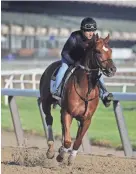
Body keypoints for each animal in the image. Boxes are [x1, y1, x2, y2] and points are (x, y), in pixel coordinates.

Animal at [39, 33, 117, 165]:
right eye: (97, 51)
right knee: (49, 119)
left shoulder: (86, 119)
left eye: (110, 50)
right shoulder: (68, 113)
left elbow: (78, 140)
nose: (112, 69)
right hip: (46, 102)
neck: (86, 90)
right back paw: (50, 149)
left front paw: (71, 157)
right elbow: (68, 141)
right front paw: (61, 155)